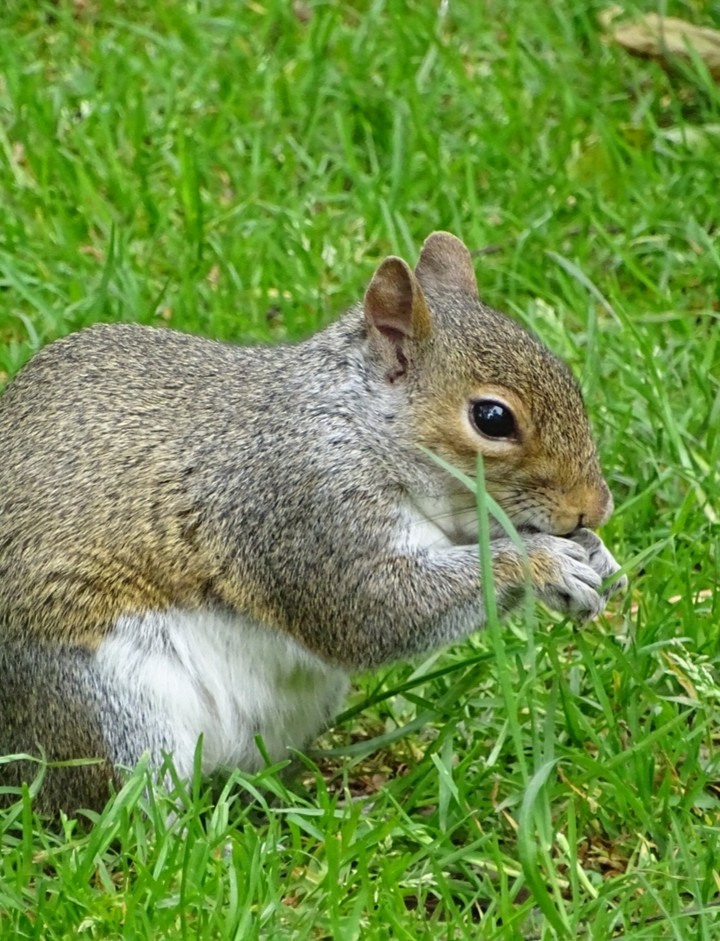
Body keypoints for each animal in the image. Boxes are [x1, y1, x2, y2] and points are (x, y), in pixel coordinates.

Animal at [0, 232, 625, 815]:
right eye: (492, 418)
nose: (595, 507)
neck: (354, 425)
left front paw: (598, 555)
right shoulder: (301, 504)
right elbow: (372, 608)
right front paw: (545, 561)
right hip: (110, 712)